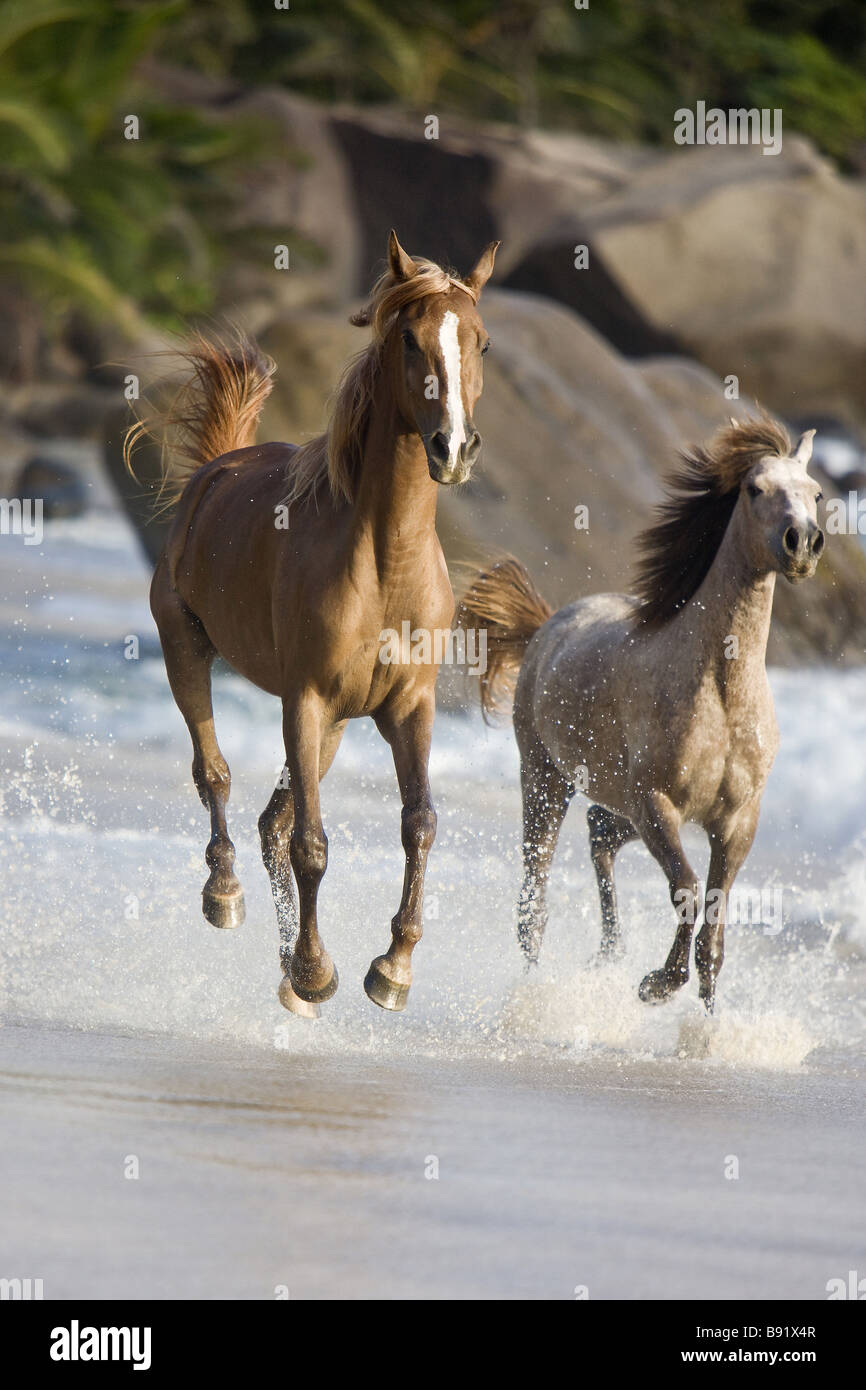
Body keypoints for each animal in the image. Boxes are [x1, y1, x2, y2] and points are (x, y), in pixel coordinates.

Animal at [128, 231, 499, 1016]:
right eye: (411, 340)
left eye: (480, 341)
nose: (453, 449)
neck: (385, 561)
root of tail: (215, 470)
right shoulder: (304, 700)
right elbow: (313, 844)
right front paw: (316, 971)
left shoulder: (409, 706)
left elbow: (418, 824)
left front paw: (391, 971)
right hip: (188, 652)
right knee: (216, 776)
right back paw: (227, 897)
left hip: (334, 727)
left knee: (272, 820)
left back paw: (288, 969)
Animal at [457, 416, 824, 1013]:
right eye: (754, 489)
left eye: (815, 494)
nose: (803, 543)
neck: (720, 695)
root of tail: (546, 627)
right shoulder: (656, 804)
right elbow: (688, 890)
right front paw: (658, 985)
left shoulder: (737, 821)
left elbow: (714, 932)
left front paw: (706, 1017)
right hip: (546, 781)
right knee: (533, 904)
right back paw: (538, 991)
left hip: (615, 799)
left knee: (599, 834)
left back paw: (608, 954)